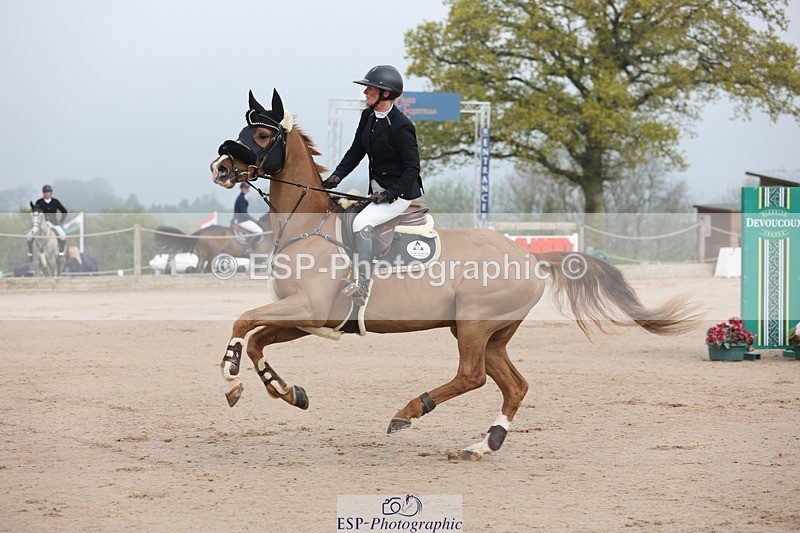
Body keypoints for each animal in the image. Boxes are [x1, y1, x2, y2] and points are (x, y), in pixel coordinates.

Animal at [208, 90, 700, 460]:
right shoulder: (309, 317)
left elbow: (243, 322)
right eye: (242, 130)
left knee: (473, 376)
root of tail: (529, 257)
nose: (221, 167)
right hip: (491, 334)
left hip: (473, 325)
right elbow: (257, 339)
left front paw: (231, 376)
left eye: (263, 133)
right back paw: (484, 444)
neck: (306, 226)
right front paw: (286, 391)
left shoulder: (307, 309)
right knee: (514, 385)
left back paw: (408, 412)